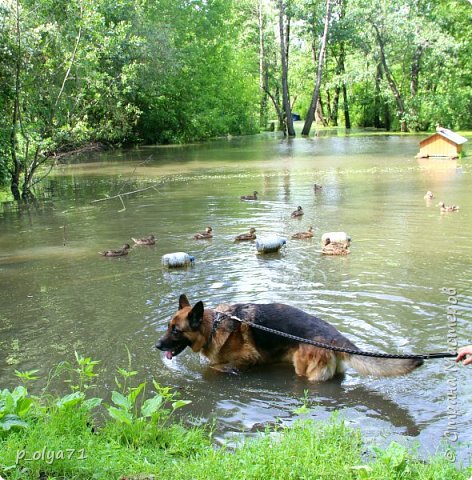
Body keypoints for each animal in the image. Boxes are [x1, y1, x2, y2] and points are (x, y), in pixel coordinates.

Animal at [156, 294, 424, 380]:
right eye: (167, 326)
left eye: (176, 331)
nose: (157, 345)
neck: (214, 326)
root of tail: (333, 335)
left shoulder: (247, 359)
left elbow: (216, 368)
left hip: (305, 371)